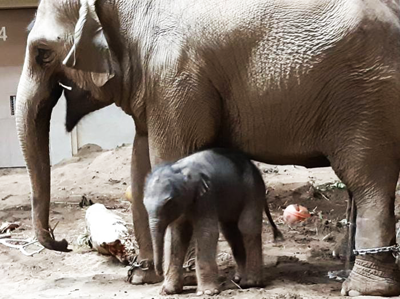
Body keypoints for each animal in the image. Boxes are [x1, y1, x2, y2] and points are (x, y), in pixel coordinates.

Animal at [144, 149, 282, 296]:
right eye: (144, 204)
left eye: (168, 202)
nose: (159, 273)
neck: (181, 169)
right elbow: (176, 236)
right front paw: (167, 291)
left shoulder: (207, 196)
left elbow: (206, 232)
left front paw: (207, 292)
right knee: (230, 231)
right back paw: (239, 278)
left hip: (252, 190)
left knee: (247, 226)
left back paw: (250, 282)